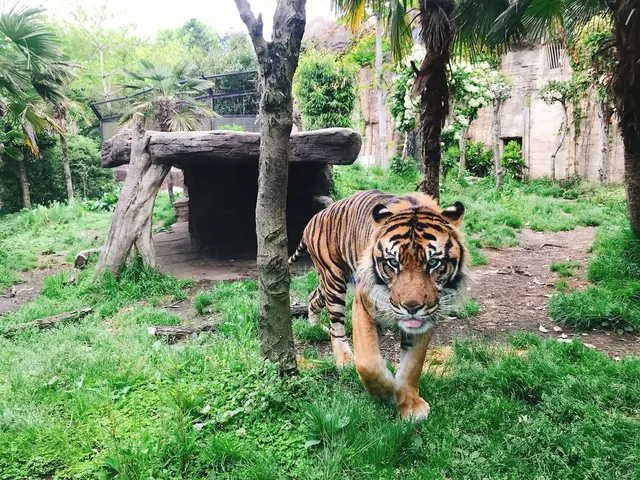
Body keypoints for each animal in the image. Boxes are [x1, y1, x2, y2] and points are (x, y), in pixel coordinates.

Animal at [288, 189, 468, 418]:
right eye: (393, 263)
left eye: (433, 263)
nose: (411, 307)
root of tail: (315, 217)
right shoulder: (364, 304)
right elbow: (369, 362)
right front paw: (386, 391)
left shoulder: (427, 317)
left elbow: (413, 364)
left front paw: (410, 405)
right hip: (333, 278)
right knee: (336, 326)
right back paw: (345, 360)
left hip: (326, 281)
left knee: (313, 297)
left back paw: (314, 326)